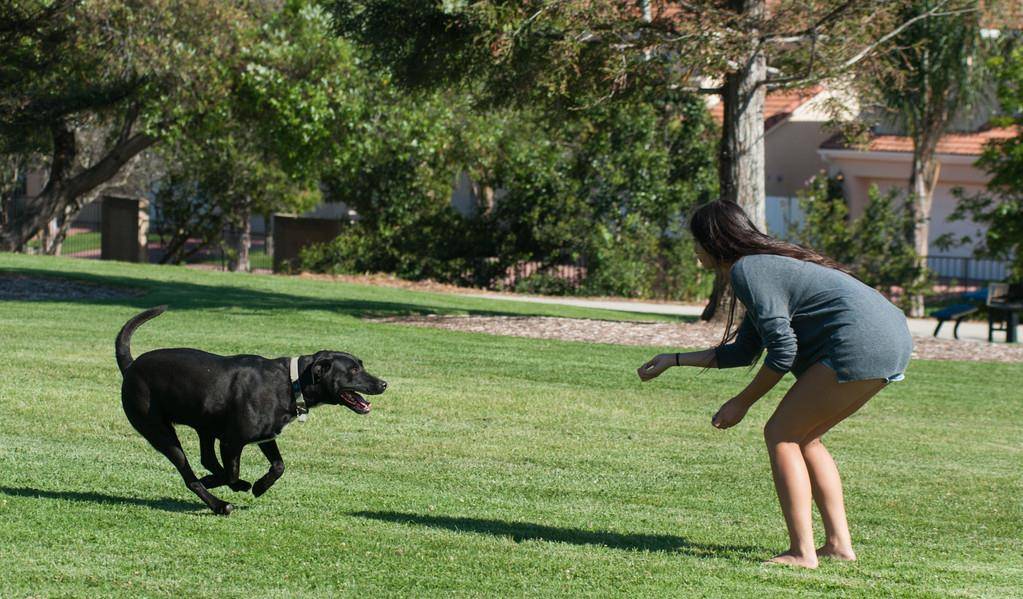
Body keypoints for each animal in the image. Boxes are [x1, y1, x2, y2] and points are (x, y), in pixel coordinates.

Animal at [116, 304, 384, 511]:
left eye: (360, 365)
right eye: (353, 370)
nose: (384, 383)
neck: (291, 382)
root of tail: (131, 366)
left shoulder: (266, 436)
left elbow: (279, 466)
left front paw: (259, 486)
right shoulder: (231, 442)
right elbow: (232, 473)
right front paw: (237, 484)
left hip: (205, 427)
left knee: (207, 460)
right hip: (161, 433)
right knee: (190, 476)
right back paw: (219, 504)